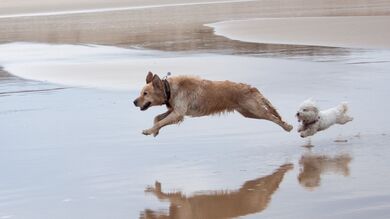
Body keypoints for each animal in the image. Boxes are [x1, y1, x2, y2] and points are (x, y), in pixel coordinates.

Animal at [133, 71, 292, 137]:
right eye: (141, 93)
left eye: (145, 93)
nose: (134, 102)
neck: (169, 89)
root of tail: (251, 87)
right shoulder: (175, 111)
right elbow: (157, 118)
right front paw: (155, 131)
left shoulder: (178, 113)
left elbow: (160, 121)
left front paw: (149, 131)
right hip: (249, 113)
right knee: (270, 115)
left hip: (255, 109)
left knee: (273, 117)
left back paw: (287, 126)